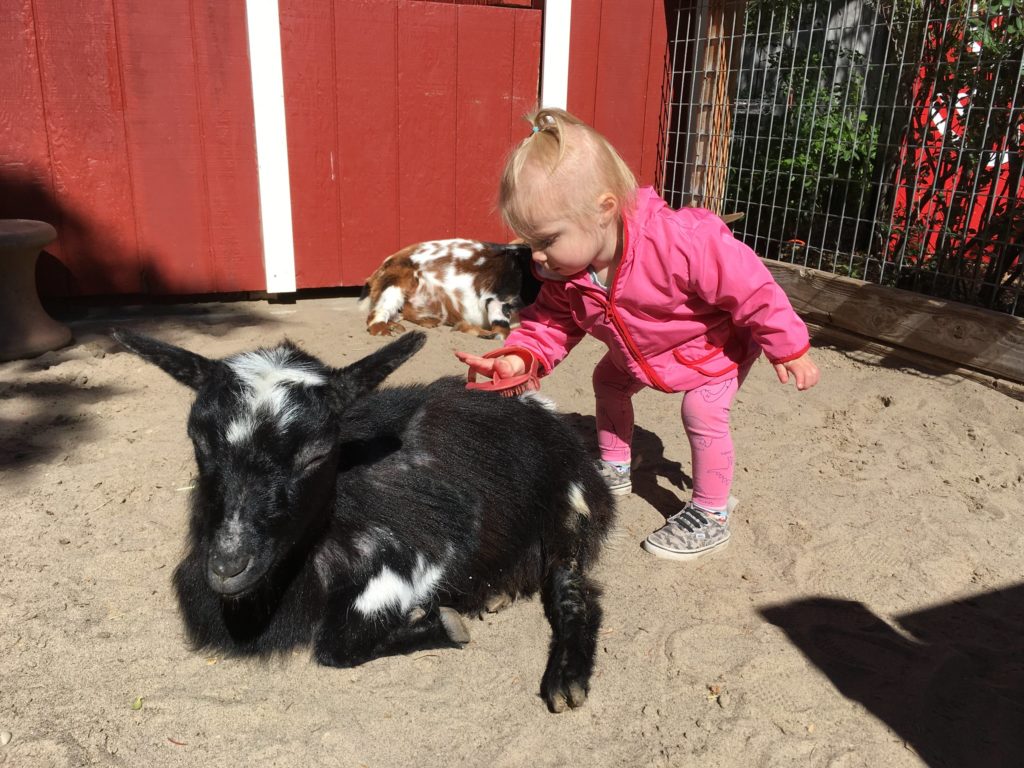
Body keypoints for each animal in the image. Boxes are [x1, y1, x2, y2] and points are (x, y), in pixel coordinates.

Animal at [117, 327, 618, 712]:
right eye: (199, 440)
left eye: (317, 452)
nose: (227, 566)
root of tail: (536, 407)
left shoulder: (427, 548)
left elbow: (336, 645)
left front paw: (440, 623)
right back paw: (497, 593)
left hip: (570, 507)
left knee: (572, 588)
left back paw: (565, 678)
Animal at [358, 239, 540, 337]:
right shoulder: (496, 300)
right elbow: (501, 333)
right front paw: (463, 327)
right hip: (394, 285)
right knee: (375, 317)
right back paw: (385, 331)